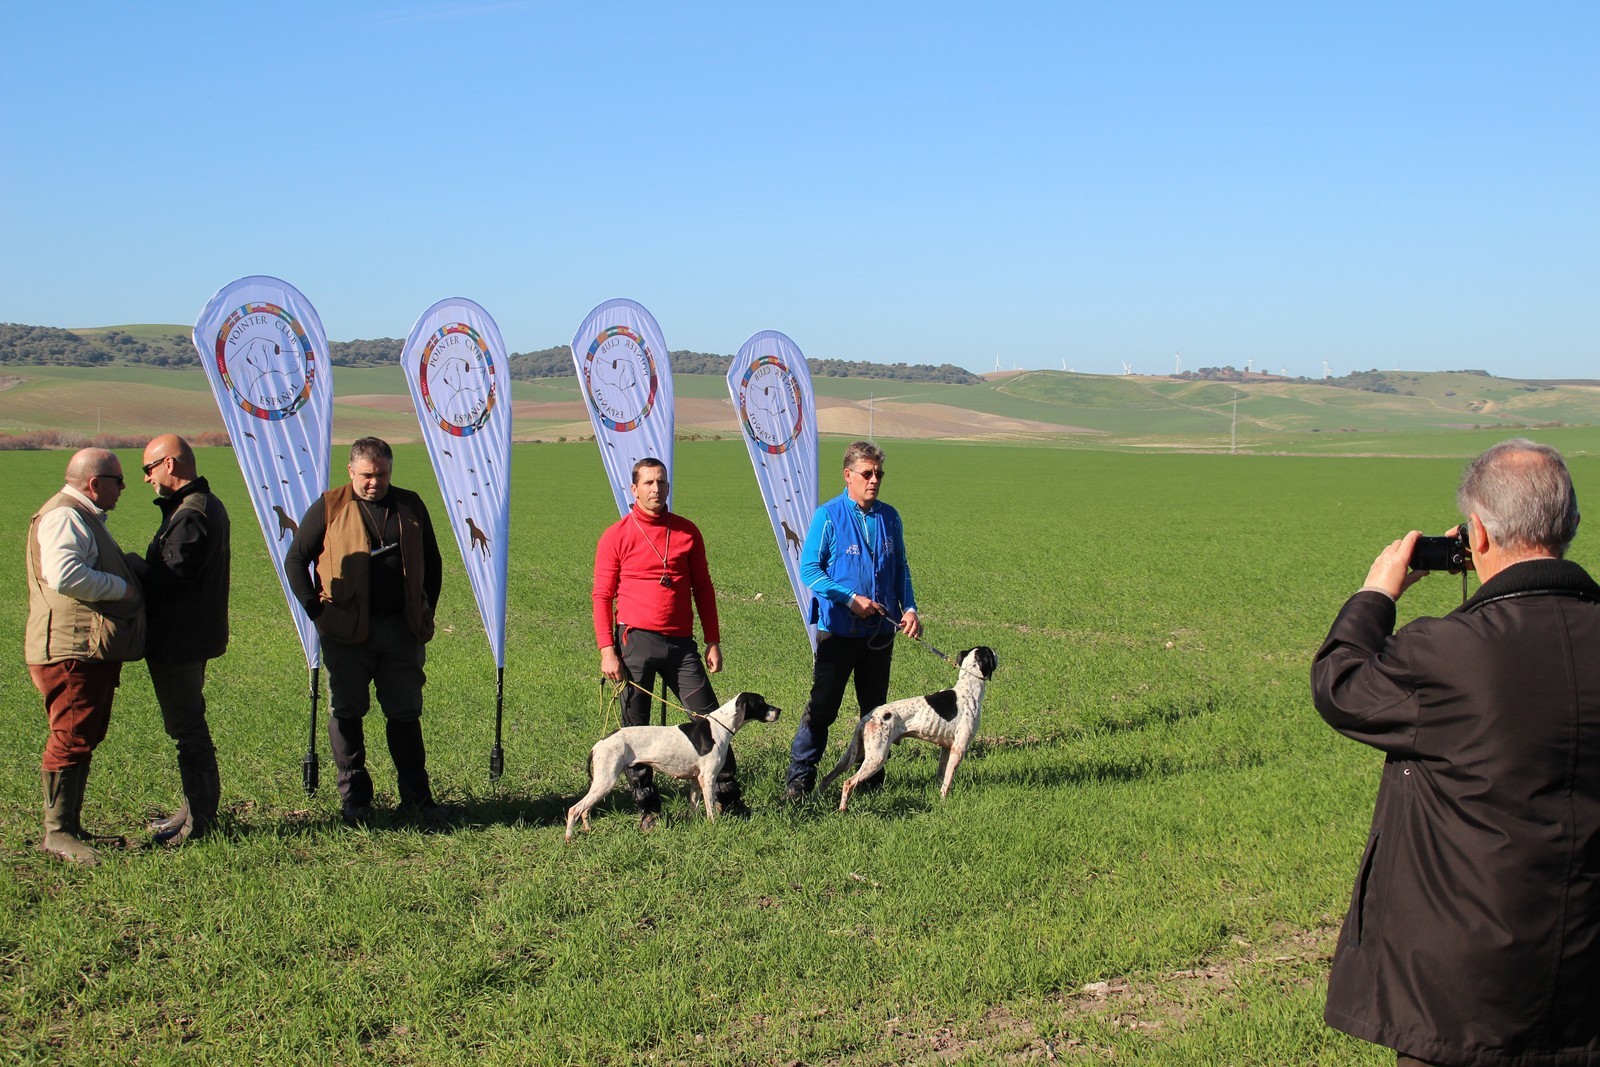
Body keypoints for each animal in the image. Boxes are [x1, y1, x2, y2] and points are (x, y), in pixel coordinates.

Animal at [569, 694, 780, 844]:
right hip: (606, 781)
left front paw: (695, 826)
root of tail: (599, 743)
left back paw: (588, 830)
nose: (779, 710)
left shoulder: (696, 780)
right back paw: (569, 838)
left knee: (585, 810)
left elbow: (693, 807)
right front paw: (714, 828)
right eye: (761, 702)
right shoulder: (708, 779)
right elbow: (711, 809)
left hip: (601, 783)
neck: (719, 728)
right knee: (574, 809)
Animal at [819, 646, 992, 812]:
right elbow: (948, 781)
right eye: (991, 652)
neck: (968, 688)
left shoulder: (946, 748)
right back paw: (843, 808)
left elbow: (941, 776)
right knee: (848, 782)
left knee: (826, 778)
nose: (997, 652)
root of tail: (867, 718)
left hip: (853, 754)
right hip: (876, 758)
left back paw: (818, 799)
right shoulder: (959, 749)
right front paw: (944, 801)